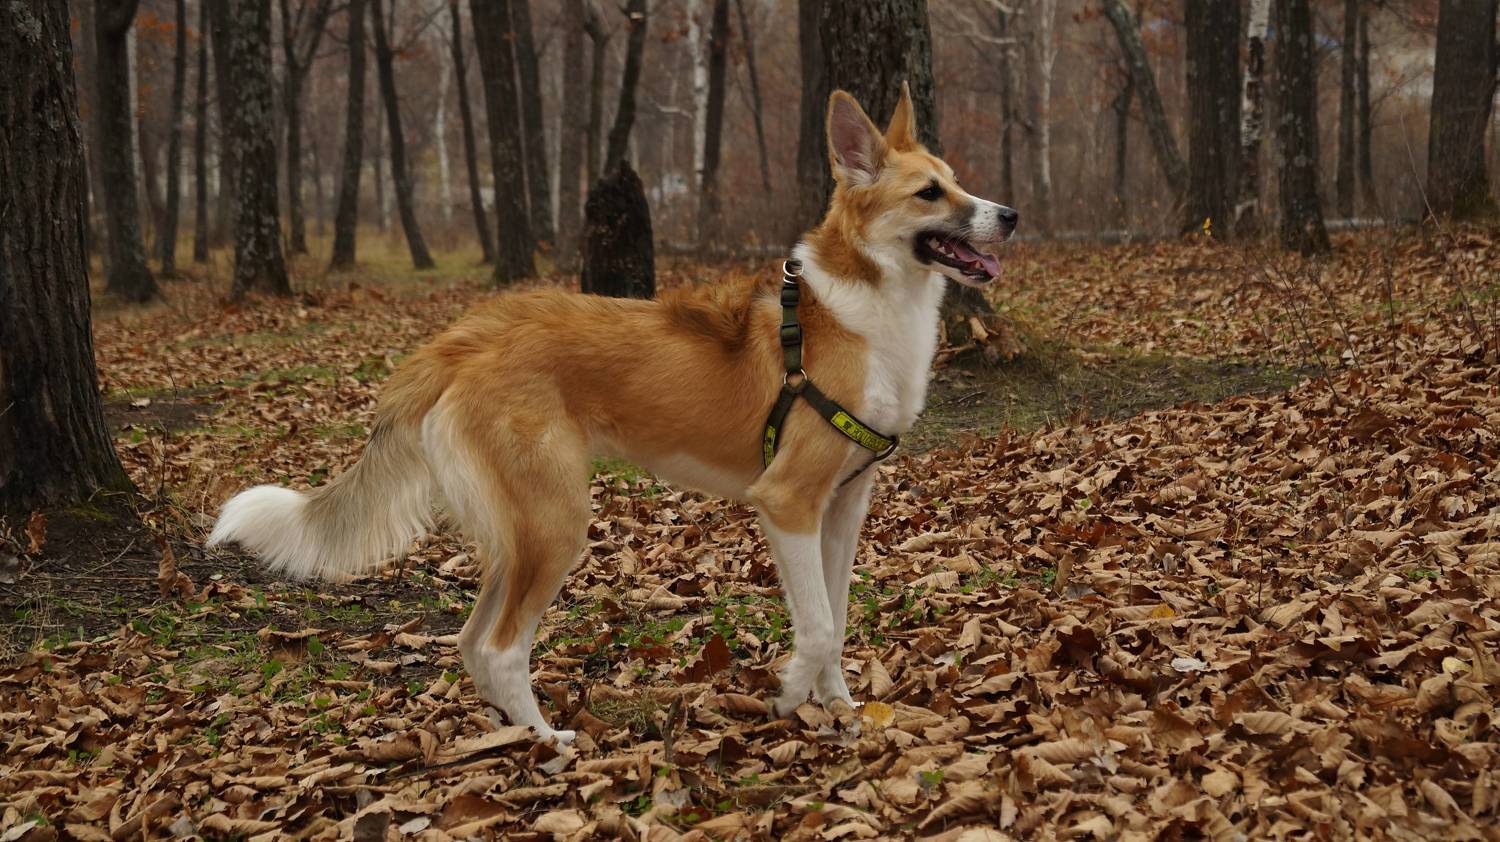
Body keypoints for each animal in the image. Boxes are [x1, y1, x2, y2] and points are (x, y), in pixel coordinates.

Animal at [209, 84, 1017, 746]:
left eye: (958, 180)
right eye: (930, 193)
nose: (1009, 214)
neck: (866, 308)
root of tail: (462, 340)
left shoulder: (843, 507)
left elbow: (837, 621)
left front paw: (841, 710)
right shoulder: (786, 501)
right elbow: (816, 627)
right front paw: (791, 696)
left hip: (521, 532)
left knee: (472, 644)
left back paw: (514, 735)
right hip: (556, 522)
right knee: (500, 647)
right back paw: (548, 745)